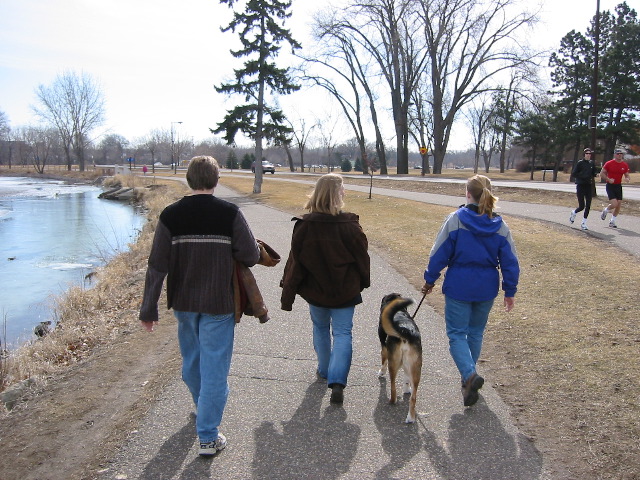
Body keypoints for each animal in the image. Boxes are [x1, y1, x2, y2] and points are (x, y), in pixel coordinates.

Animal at [378, 292, 422, 424]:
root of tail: (406, 331)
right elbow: (407, 378)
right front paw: (407, 388)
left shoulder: (384, 346)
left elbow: (383, 359)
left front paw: (381, 372)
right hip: (416, 366)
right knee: (413, 398)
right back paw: (410, 418)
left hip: (393, 363)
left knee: (393, 389)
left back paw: (391, 401)